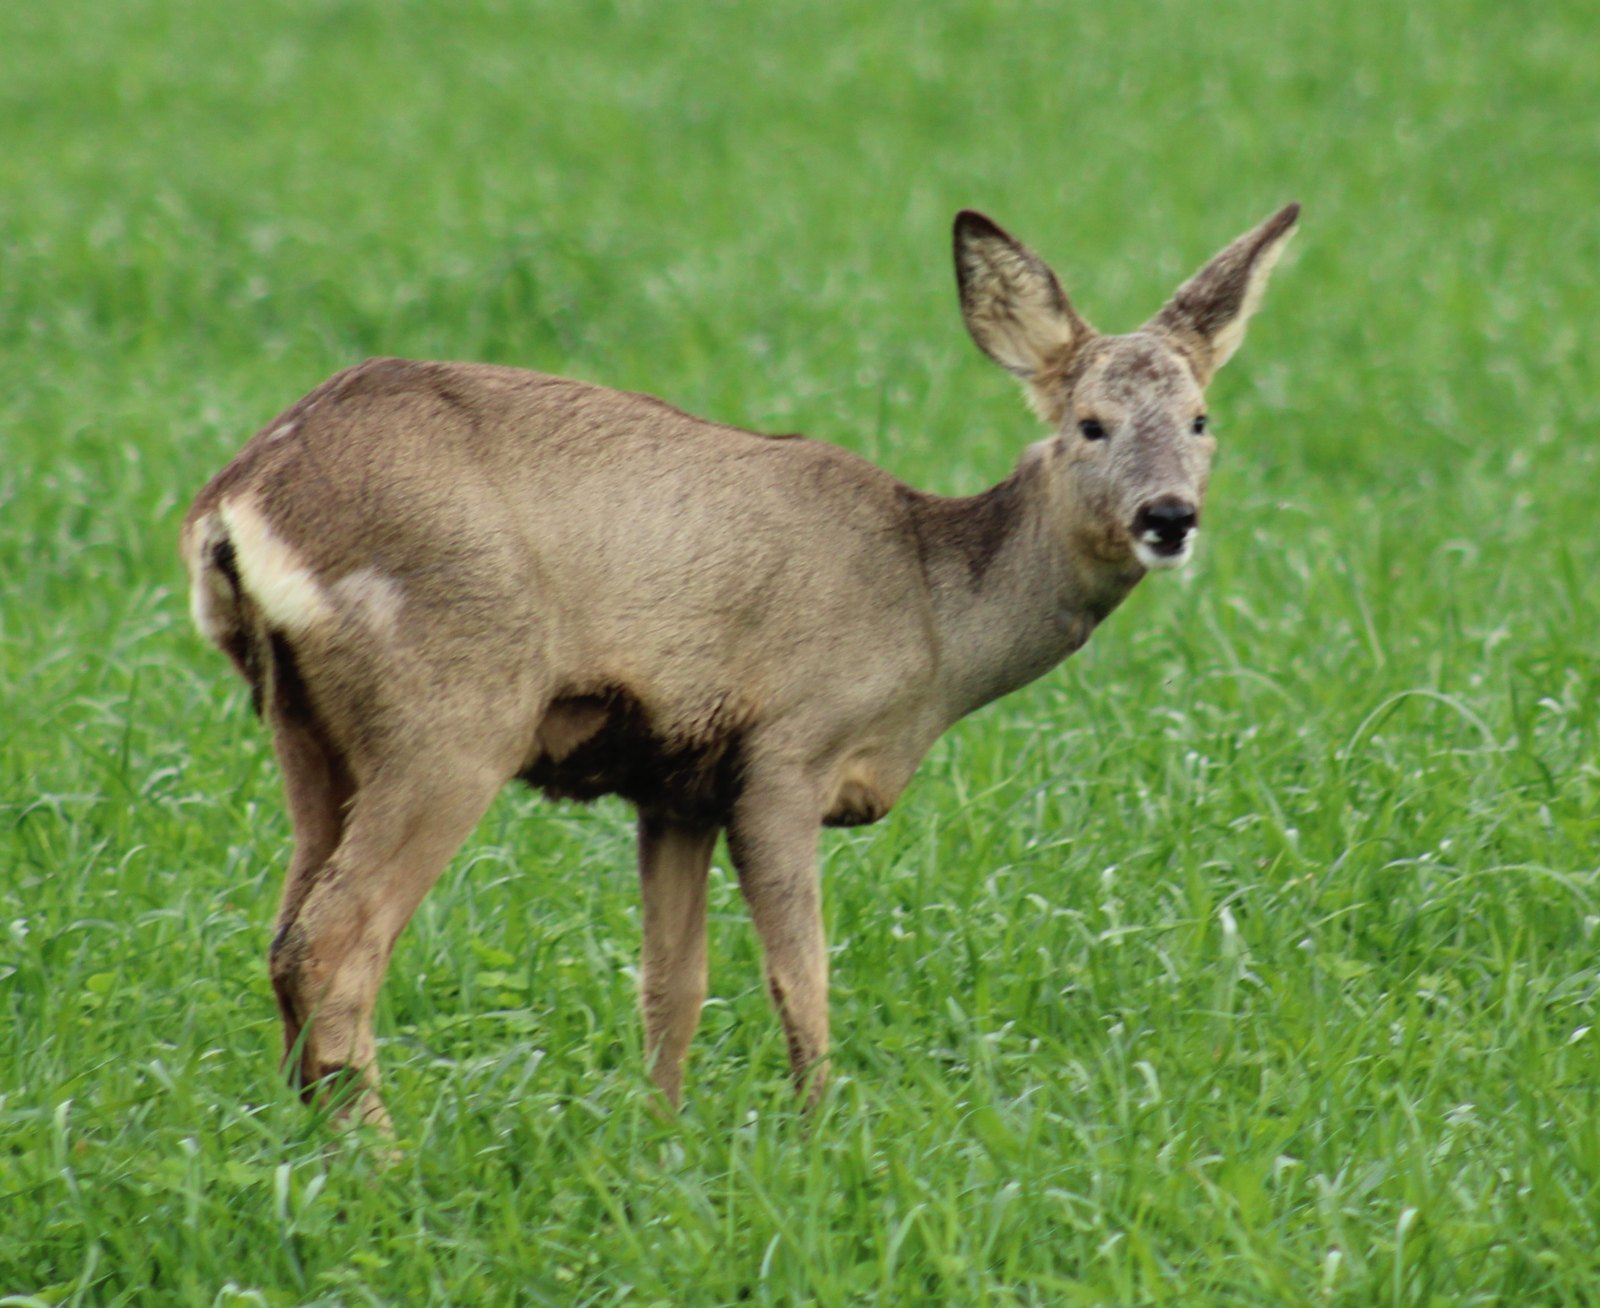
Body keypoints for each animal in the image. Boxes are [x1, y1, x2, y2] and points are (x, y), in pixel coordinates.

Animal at [181, 203, 1299, 1131]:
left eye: (1201, 421)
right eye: (1088, 424)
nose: (1168, 517)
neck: (932, 609)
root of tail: (235, 500)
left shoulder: (675, 782)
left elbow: (670, 985)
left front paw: (660, 1139)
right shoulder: (785, 752)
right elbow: (799, 977)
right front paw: (819, 1136)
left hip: (306, 729)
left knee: (283, 933)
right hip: (450, 710)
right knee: (335, 940)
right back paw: (381, 1159)